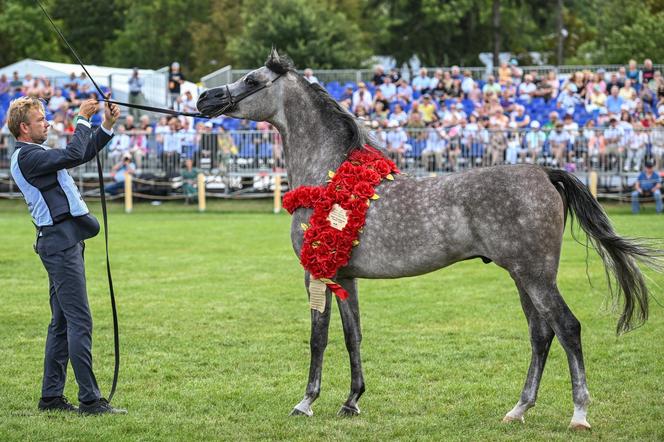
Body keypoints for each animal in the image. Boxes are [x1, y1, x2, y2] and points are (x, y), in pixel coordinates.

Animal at [195, 49, 656, 428]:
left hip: (536, 276)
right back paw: (519, 409)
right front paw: (351, 401)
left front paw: (306, 402)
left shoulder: (317, 272)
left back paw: (579, 414)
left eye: (252, 80)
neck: (329, 177)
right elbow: (352, 335)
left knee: (568, 328)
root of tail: (544, 172)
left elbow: (318, 337)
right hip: (524, 277)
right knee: (541, 334)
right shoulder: (345, 277)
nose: (204, 100)